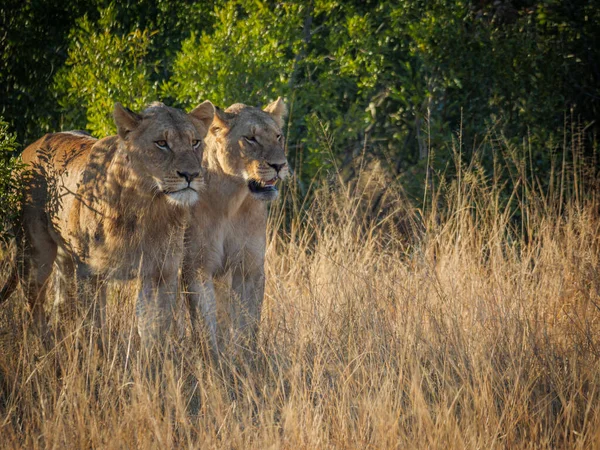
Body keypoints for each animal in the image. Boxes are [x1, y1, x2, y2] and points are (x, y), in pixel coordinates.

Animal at [12, 100, 213, 342]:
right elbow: (95, 331)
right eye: (162, 143)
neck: (148, 206)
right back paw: (43, 344)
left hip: (65, 258)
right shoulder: (90, 273)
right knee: (34, 308)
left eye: (195, 142)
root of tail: (27, 148)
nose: (191, 175)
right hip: (35, 254)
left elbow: (155, 333)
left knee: (60, 304)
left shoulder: (160, 274)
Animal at [180, 98, 288, 356]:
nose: (280, 165)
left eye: (278, 136)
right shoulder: (196, 265)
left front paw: (246, 359)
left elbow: (248, 324)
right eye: (250, 138)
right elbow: (204, 324)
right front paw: (212, 361)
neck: (232, 200)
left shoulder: (249, 267)